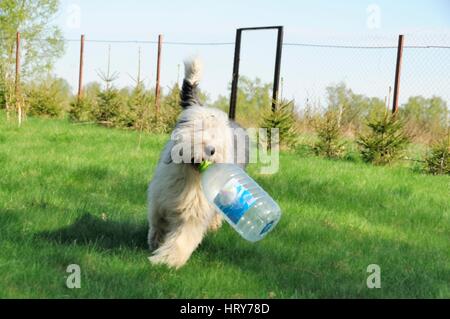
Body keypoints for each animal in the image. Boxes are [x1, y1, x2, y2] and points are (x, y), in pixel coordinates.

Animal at [148, 58, 248, 268]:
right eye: (199, 130)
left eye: (217, 139)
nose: (211, 150)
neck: (190, 175)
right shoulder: (161, 195)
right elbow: (157, 220)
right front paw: (156, 241)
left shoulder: (195, 211)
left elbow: (183, 237)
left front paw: (168, 260)